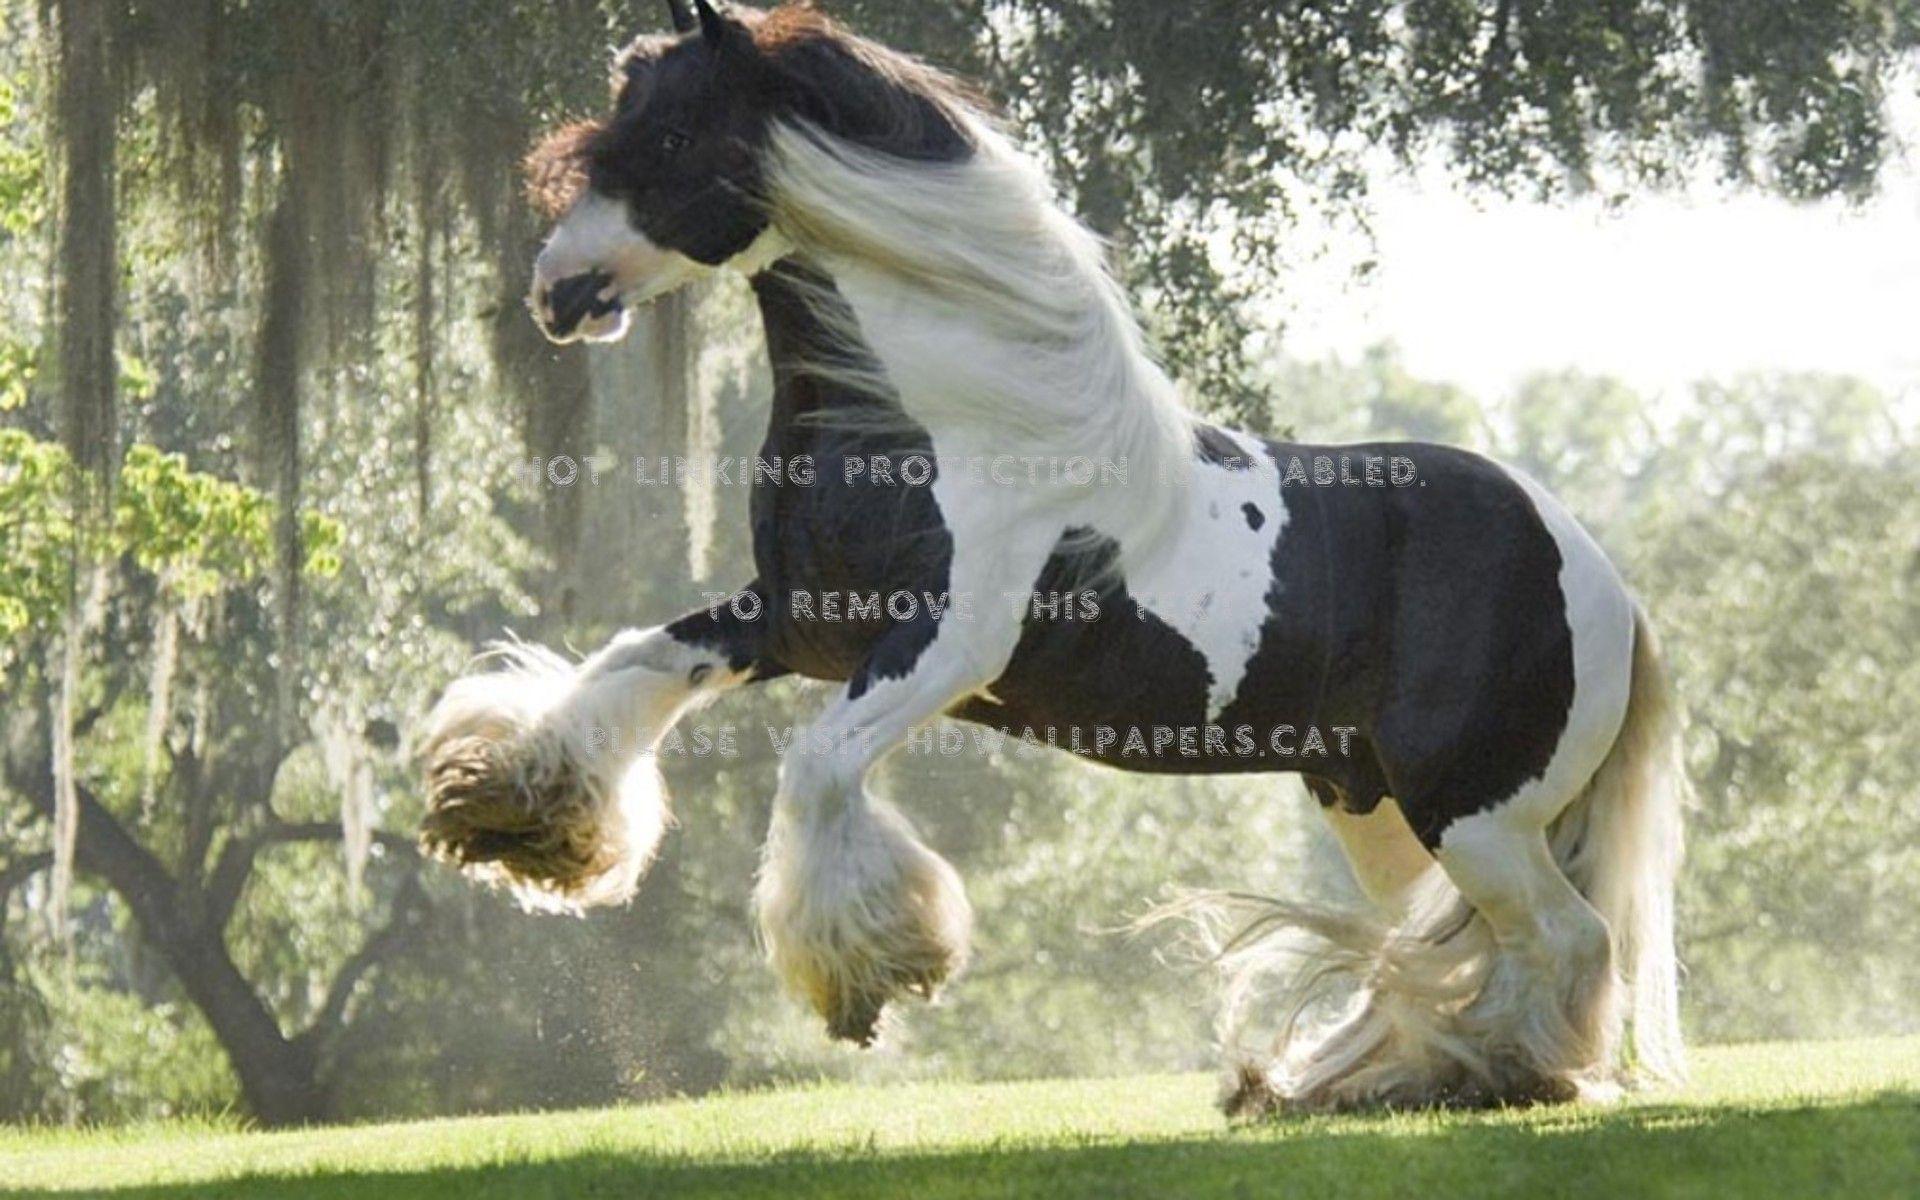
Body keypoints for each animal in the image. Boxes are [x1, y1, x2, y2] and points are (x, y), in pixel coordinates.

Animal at [419, 0, 1688, 1113]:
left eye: (675, 136)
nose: (555, 293)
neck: (953, 415)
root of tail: (1607, 583)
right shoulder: (795, 620)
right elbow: (631, 664)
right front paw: (513, 814)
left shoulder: (947, 646)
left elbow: (816, 765)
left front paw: (874, 976)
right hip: (1379, 807)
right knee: (1471, 942)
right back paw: (1399, 1079)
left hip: (1474, 813)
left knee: (1571, 939)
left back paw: (1505, 1075)